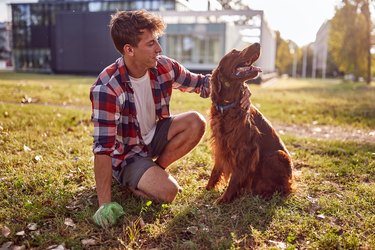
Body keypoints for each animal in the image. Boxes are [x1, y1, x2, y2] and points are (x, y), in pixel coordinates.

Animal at [209, 43, 294, 203]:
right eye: (234, 52)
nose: (258, 44)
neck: (229, 106)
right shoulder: (221, 144)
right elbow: (215, 169)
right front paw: (207, 188)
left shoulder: (245, 149)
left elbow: (235, 177)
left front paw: (224, 199)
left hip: (277, 156)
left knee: (284, 188)